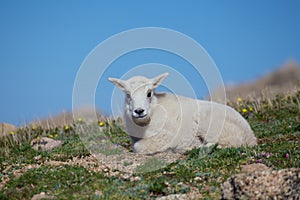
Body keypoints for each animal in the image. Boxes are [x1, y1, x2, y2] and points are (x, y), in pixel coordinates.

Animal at [109, 72, 256, 154]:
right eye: (128, 95)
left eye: (149, 93)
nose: (139, 111)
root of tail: (250, 136)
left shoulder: (166, 136)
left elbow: (138, 147)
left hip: (214, 127)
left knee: (231, 144)